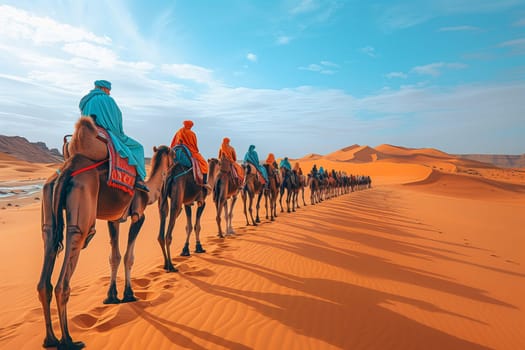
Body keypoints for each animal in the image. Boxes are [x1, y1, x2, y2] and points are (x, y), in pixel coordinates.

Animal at [39, 116, 174, 348]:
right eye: (173, 153)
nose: (176, 162)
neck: (150, 192)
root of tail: (66, 169)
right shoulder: (139, 216)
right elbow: (128, 256)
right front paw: (129, 294)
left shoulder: (114, 219)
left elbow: (115, 256)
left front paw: (111, 296)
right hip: (81, 213)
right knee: (63, 281)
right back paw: (69, 341)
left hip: (48, 207)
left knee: (44, 276)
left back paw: (50, 339)